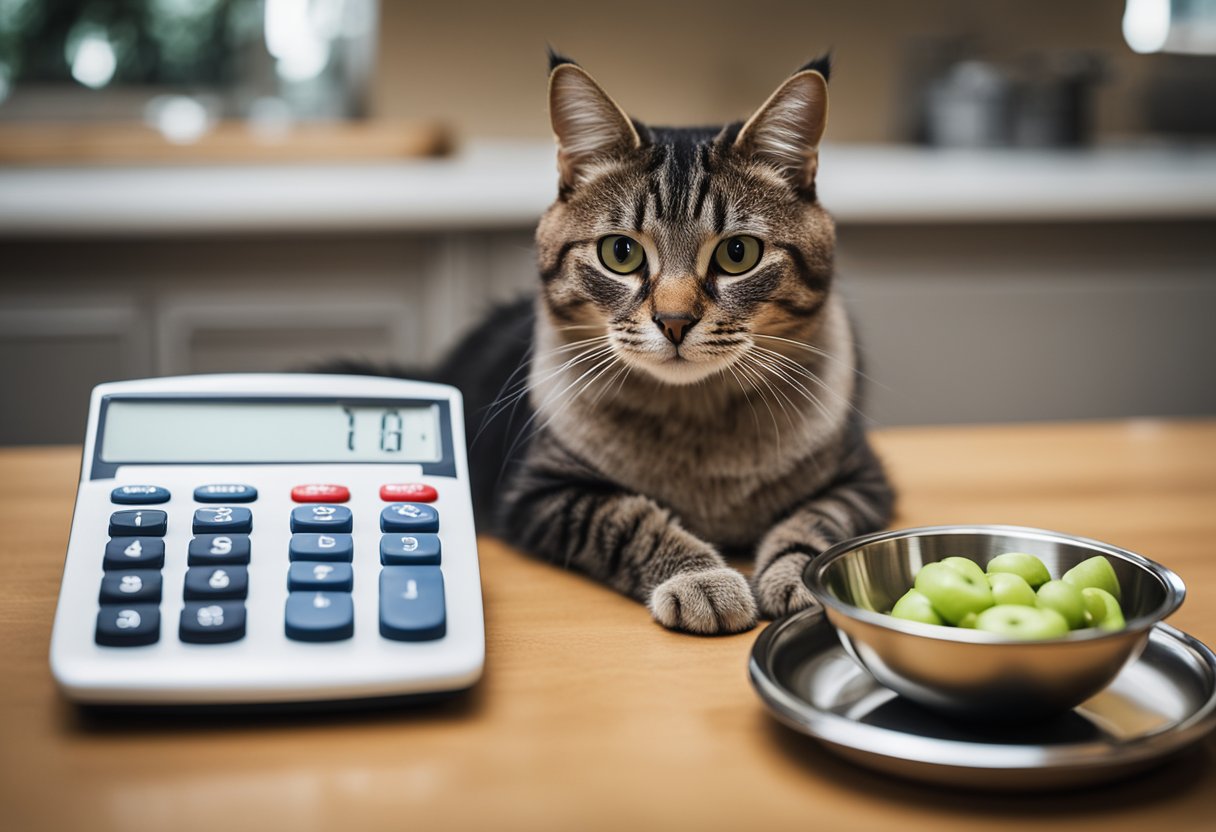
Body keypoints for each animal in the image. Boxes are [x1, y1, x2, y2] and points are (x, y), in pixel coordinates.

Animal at [435, 52, 894, 632]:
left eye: (739, 253)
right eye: (621, 252)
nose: (674, 321)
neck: (695, 424)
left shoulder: (864, 479)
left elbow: (818, 518)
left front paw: (797, 576)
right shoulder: (539, 491)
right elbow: (629, 518)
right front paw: (703, 579)